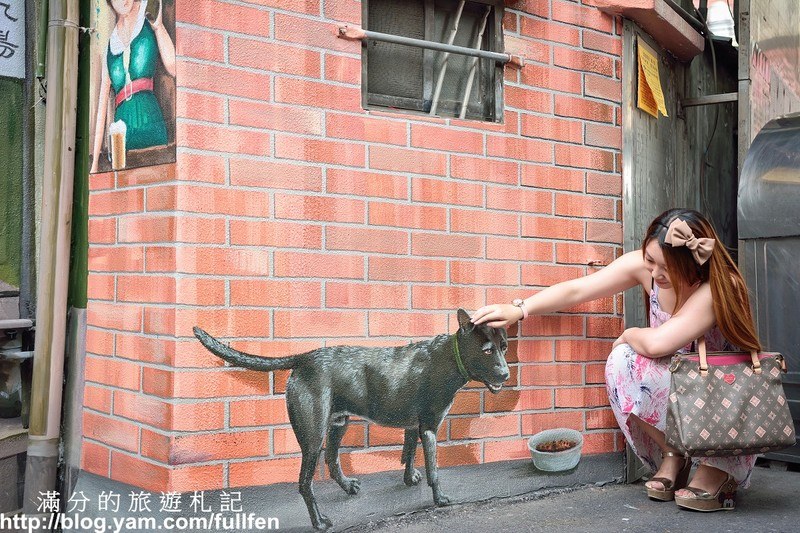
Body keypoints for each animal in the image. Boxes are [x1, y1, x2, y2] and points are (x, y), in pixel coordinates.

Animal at [193, 308, 506, 528]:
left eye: (504, 347)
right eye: (487, 350)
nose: (505, 374)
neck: (450, 358)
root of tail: (305, 357)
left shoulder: (413, 426)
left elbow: (408, 453)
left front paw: (410, 478)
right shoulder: (429, 427)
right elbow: (434, 468)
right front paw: (440, 498)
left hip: (338, 425)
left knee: (332, 461)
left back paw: (347, 488)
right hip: (313, 436)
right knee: (305, 482)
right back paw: (319, 522)